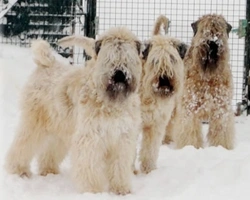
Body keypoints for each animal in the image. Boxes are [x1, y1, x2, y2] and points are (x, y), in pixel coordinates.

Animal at [4, 26, 143, 194]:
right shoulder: (90, 137)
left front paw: (121, 189)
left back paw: (49, 170)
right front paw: (92, 190)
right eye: (109, 56)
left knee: (49, 151)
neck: (111, 103)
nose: (120, 74)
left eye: (128, 57)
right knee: (22, 145)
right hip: (34, 123)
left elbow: (120, 167)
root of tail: (48, 63)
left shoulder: (122, 139)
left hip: (60, 129)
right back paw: (19, 169)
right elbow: (89, 165)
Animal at [140, 15, 187, 173]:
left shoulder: (156, 124)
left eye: (172, 58)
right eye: (155, 60)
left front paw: (148, 170)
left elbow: (150, 149)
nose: (164, 78)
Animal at [173, 14, 235, 149]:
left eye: (220, 31)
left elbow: (221, 131)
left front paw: (221, 147)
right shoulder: (190, 107)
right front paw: (190, 147)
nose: (213, 42)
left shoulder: (221, 108)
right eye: (203, 30)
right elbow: (190, 131)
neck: (208, 77)